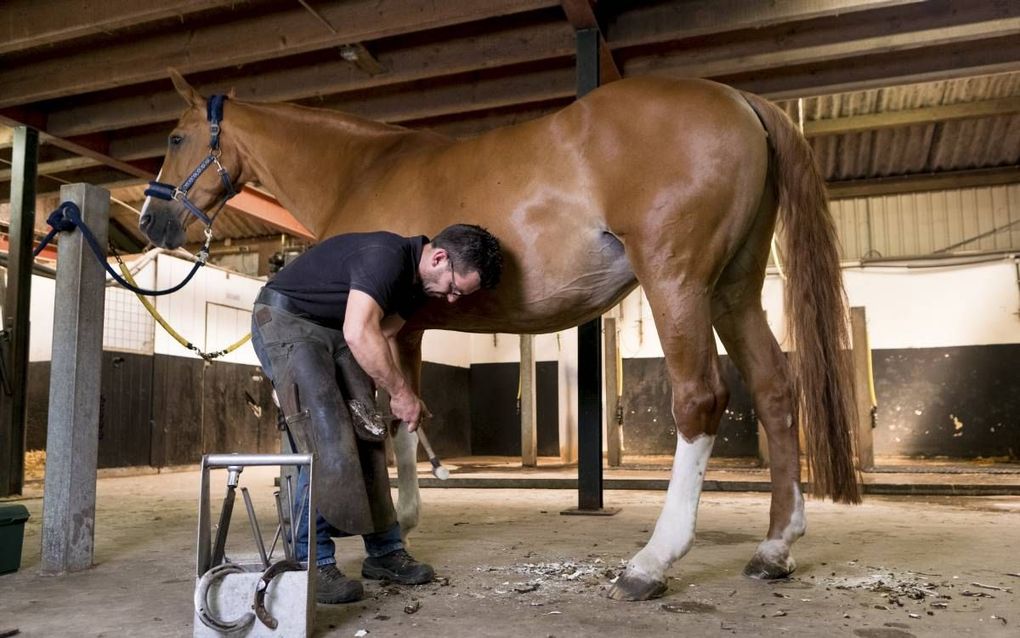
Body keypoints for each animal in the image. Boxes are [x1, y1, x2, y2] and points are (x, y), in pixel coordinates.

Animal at [139, 71, 856, 600]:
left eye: (174, 137)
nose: (150, 220)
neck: (361, 167)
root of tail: (739, 99)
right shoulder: (409, 328)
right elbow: (403, 419)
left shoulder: (383, 325)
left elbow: (387, 418)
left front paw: (392, 523)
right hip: (734, 290)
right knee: (774, 390)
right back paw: (774, 548)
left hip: (677, 282)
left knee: (700, 400)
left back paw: (651, 563)